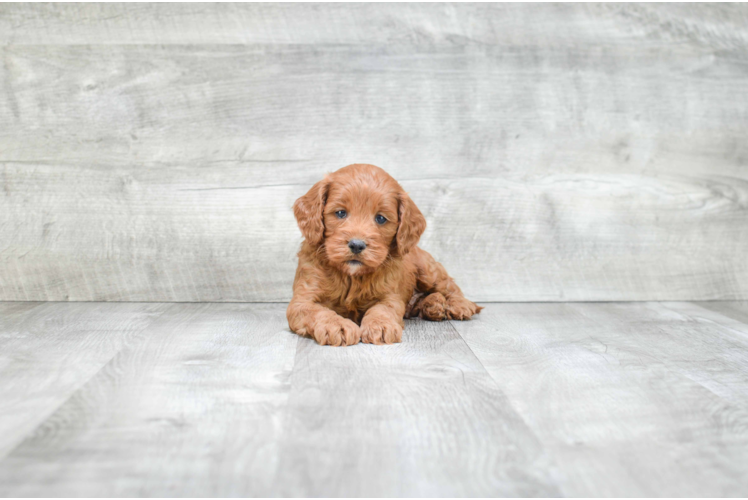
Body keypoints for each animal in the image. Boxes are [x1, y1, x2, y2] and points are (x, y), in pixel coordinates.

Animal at [286, 162, 480, 346]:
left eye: (380, 218)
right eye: (340, 213)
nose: (357, 245)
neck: (351, 277)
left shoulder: (390, 295)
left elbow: (382, 309)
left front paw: (380, 326)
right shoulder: (302, 299)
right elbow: (317, 311)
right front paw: (337, 325)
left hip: (428, 270)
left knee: (448, 285)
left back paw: (459, 305)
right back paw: (433, 306)